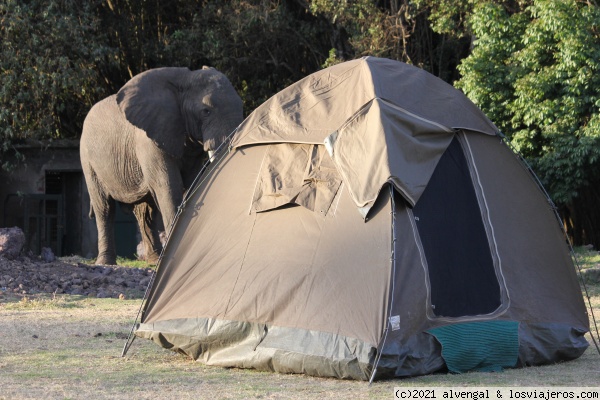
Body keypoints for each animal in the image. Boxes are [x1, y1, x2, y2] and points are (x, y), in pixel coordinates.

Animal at [80, 66, 244, 266]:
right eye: (206, 111)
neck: (184, 80)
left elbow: (190, 185)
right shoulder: (149, 141)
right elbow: (170, 187)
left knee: (146, 212)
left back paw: (153, 260)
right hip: (88, 158)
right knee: (104, 208)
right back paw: (106, 262)